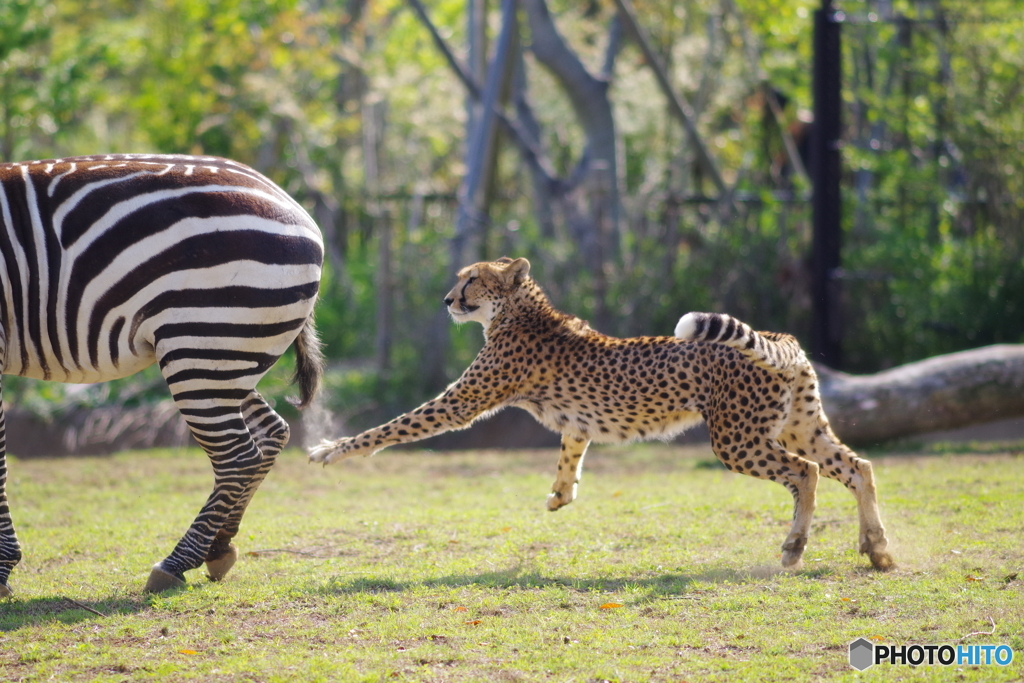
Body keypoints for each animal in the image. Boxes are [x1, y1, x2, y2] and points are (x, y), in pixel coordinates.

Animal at [0, 153, 323, 593]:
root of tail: (289, 202)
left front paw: (2, 566)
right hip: (225, 355)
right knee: (271, 432)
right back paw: (219, 547)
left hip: (202, 346)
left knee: (237, 456)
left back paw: (176, 563)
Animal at [307, 255, 892, 573]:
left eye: (472, 280)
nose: (448, 299)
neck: (519, 311)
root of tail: (781, 336)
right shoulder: (575, 424)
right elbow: (571, 453)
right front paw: (560, 494)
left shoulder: (461, 402)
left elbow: (394, 425)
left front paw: (332, 449)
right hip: (800, 424)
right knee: (856, 467)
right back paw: (878, 549)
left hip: (738, 439)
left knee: (806, 473)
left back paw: (794, 549)